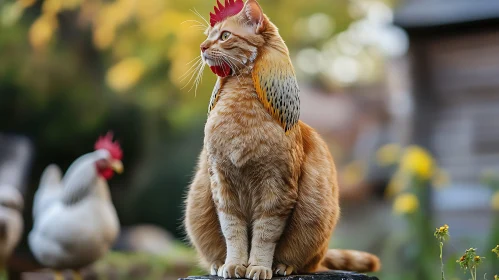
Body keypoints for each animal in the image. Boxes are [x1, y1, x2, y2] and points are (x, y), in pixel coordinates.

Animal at [185, 1, 382, 278]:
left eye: (224, 36)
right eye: (208, 36)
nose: (203, 47)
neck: (240, 112)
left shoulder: (276, 189)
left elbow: (264, 235)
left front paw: (258, 267)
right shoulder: (222, 185)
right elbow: (233, 231)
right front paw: (233, 265)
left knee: (304, 263)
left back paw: (282, 266)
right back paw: (217, 264)